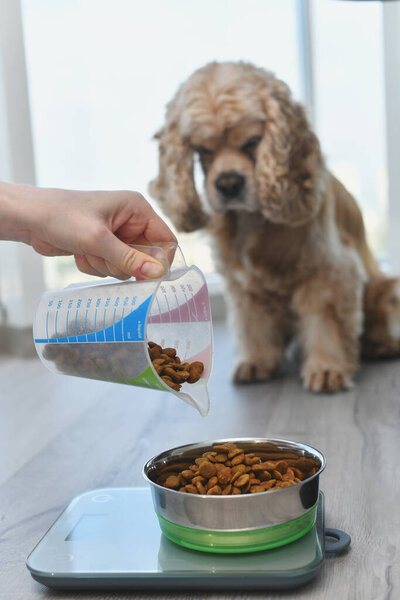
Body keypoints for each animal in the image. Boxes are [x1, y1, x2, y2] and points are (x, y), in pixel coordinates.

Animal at [148, 58, 400, 392]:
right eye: (204, 150)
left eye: (253, 142)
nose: (228, 184)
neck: (253, 219)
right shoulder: (243, 284)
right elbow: (254, 324)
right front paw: (256, 362)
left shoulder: (328, 272)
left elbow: (326, 322)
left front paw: (327, 369)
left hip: (385, 288)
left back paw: (381, 345)